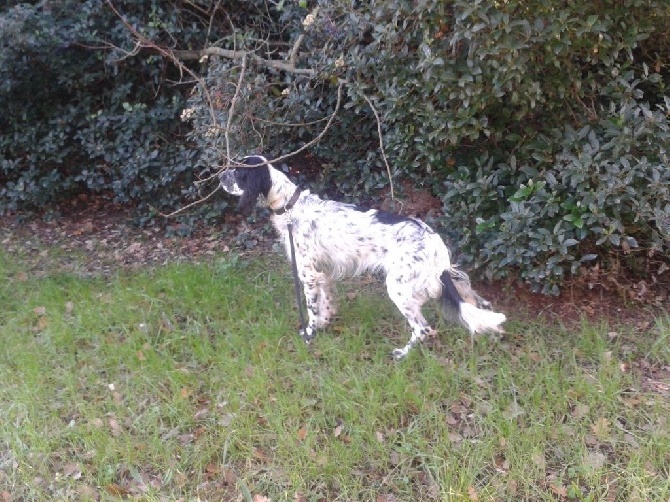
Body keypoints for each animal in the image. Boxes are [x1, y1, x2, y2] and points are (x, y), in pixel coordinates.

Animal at [220, 155, 510, 358]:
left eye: (238, 171)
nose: (221, 175)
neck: (291, 206)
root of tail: (434, 242)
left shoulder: (309, 275)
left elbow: (312, 310)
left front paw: (310, 334)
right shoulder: (325, 274)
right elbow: (327, 305)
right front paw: (325, 323)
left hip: (398, 288)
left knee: (423, 328)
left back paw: (402, 354)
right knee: (469, 297)